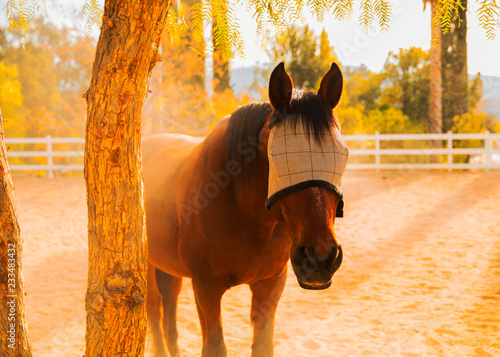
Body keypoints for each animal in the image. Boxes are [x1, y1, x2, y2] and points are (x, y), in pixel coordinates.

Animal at [143, 62, 350, 354]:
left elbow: (263, 345)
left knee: (169, 303)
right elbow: (214, 347)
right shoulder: (206, 287)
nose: (320, 257)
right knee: (155, 307)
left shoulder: (270, 285)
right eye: (276, 156)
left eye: (342, 155)